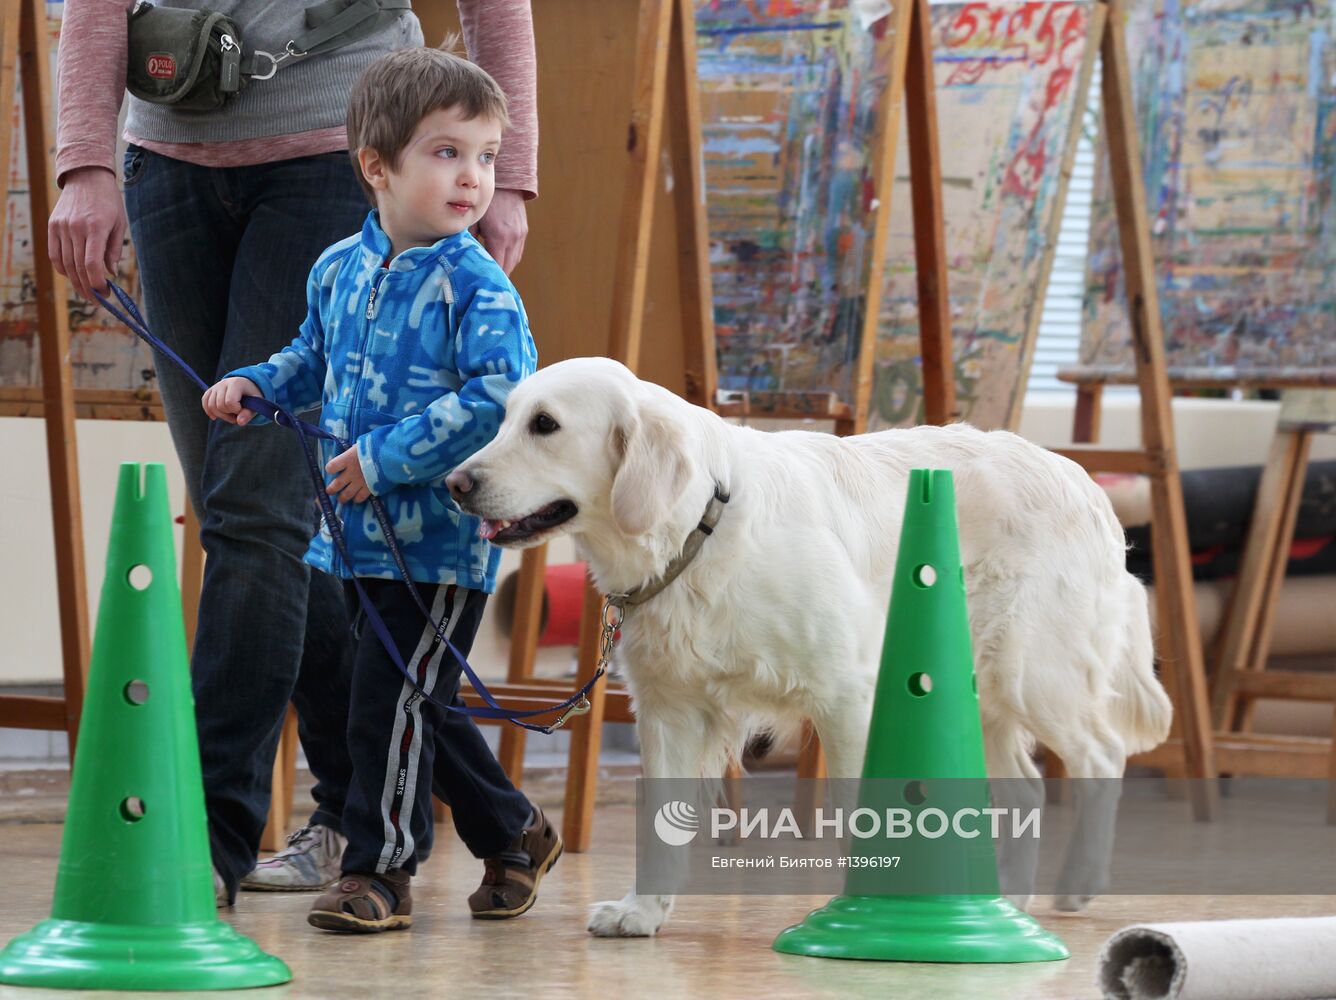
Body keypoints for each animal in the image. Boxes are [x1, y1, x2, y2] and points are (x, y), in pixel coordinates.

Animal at [446, 357, 1170, 934]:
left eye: (545, 425)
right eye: (506, 419)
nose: (454, 484)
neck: (701, 526)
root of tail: (1084, 480)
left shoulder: (848, 699)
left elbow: (860, 815)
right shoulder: (670, 710)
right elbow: (660, 825)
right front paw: (642, 911)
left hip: (1033, 671)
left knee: (1102, 755)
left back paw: (1077, 883)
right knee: (1026, 790)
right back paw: (1009, 902)